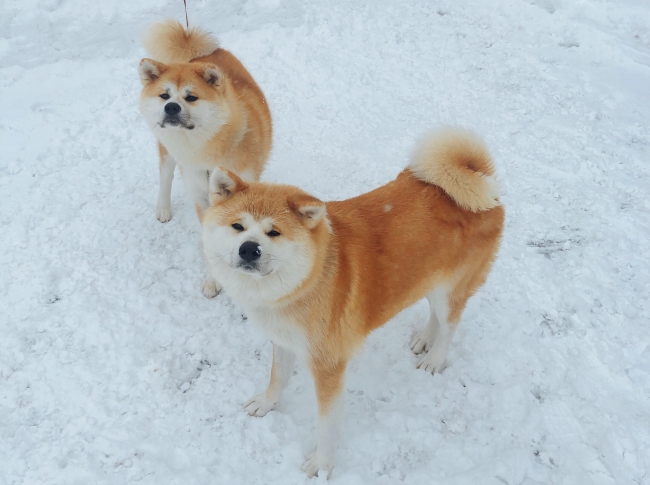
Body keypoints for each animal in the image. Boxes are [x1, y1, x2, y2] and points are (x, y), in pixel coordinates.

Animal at [138, 20, 272, 296]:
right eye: (164, 95)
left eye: (191, 97)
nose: (171, 107)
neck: (206, 152)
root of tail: (196, 55)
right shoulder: (201, 195)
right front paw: (214, 280)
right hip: (167, 150)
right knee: (165, 177)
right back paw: (163, 208)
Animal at [200, 127, 504, 476]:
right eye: (237, 226)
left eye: (274, 233)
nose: (249, 249)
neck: (306, 281)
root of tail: (483, 184)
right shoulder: (285, 341)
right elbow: (277, 378)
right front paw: (266, 403)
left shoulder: (328, 366)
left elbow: (326, 425)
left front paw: (322, 464)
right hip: (427, 279)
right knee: (434, 315)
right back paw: (424, 339)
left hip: (449, 291)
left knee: (450, 324)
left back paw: (434, 358)